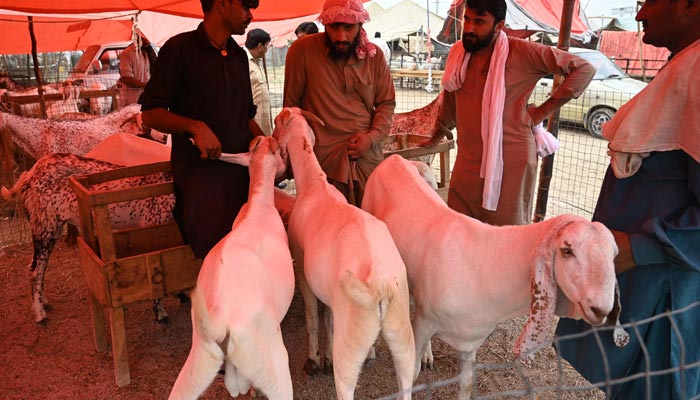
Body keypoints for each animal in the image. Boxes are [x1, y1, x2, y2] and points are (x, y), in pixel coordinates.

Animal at [274, 107, 416, 400]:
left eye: (276, 125)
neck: (314, 185)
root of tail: (381, 288)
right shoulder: (326, 289)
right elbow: (328, 319)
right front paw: (325, 357)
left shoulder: (303, 270)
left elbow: (313, 318)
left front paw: (315, 360)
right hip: (402, 335)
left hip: (350, 344)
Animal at [360, 154, 628, 400]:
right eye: (566, 250)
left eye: (615, 254)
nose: (602, 309)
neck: (488, 265)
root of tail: (396, 157)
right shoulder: (424, 322)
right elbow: (409, 375)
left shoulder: (470, 338)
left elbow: (466, 383)